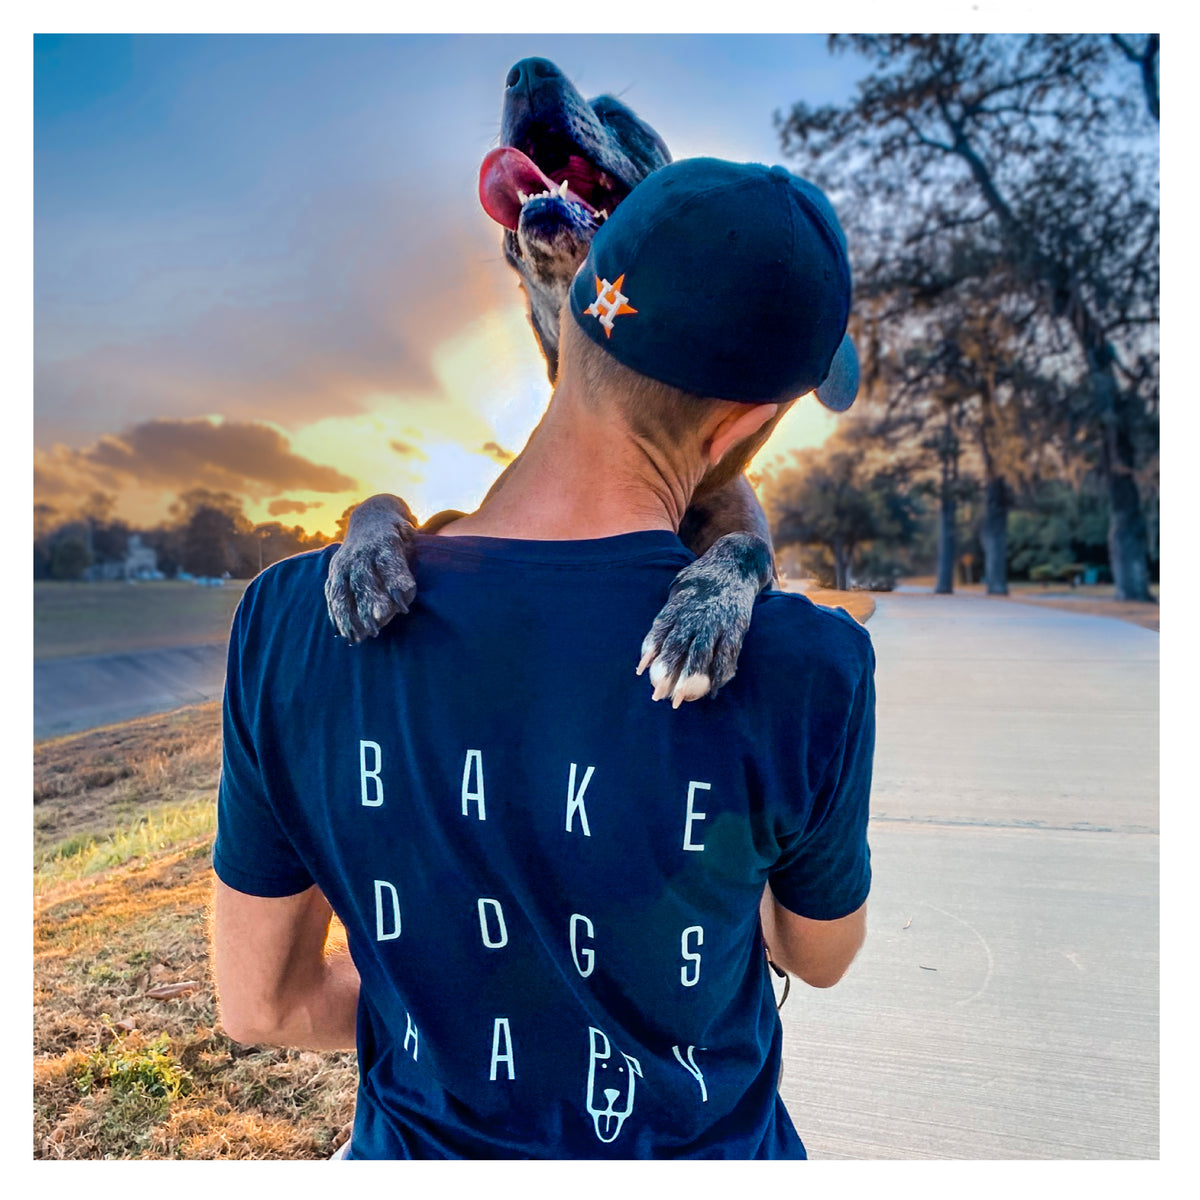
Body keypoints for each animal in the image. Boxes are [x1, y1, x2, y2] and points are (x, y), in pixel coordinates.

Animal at [324, 56, 782, 705]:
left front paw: (700, 617)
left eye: (616, 115)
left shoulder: (756, 544)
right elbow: (385, 499)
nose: (527, 71)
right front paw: (360, 560)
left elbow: (745, 547)